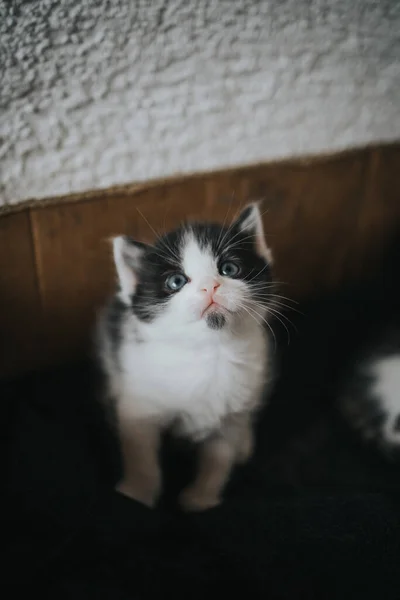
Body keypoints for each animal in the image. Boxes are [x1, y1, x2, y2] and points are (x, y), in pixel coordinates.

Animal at [96, 203, 276, 510]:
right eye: (176, 281)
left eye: (229, 268)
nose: (210, 286)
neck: (211, 352)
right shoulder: (139, 405)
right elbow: (140, 452)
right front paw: (137, 493)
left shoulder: (231, 414)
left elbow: (219, 456)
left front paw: (201, 498)